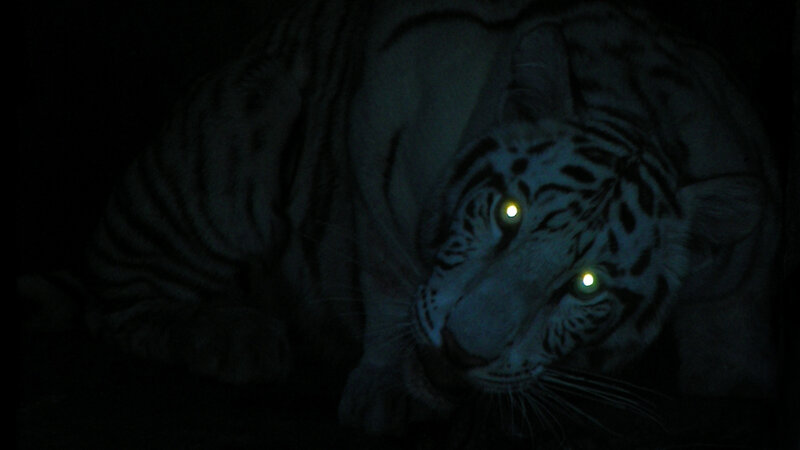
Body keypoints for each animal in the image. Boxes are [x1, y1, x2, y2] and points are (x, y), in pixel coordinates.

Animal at [77, 0, 779, 441]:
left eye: (587, 285)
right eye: (508, 213)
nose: (463, 351)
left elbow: (737, 315)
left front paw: (736, 386)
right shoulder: (385, 102)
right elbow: (387, 275)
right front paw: (386, 386)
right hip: (238, 136)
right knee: (121, 288)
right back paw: (234, 339)